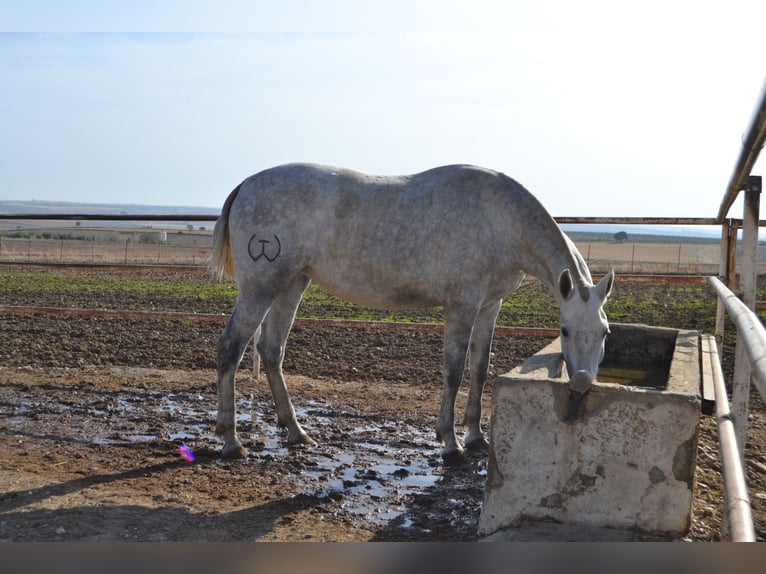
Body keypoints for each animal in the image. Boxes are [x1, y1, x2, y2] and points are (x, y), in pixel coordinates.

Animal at [207, 164, 616, 466]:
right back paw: (231, 440)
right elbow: (453, 371)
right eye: (564, 330)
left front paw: (476, 435)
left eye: (605, 333)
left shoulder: (489, 306)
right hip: (262, 287)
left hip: (293, 283)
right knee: (231, 346)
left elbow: (479, 368)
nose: (582, 382)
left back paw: (296, 432)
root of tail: (246, 185)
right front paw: (450, 442)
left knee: (271, 349)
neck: (498, 217)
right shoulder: (462, 306)